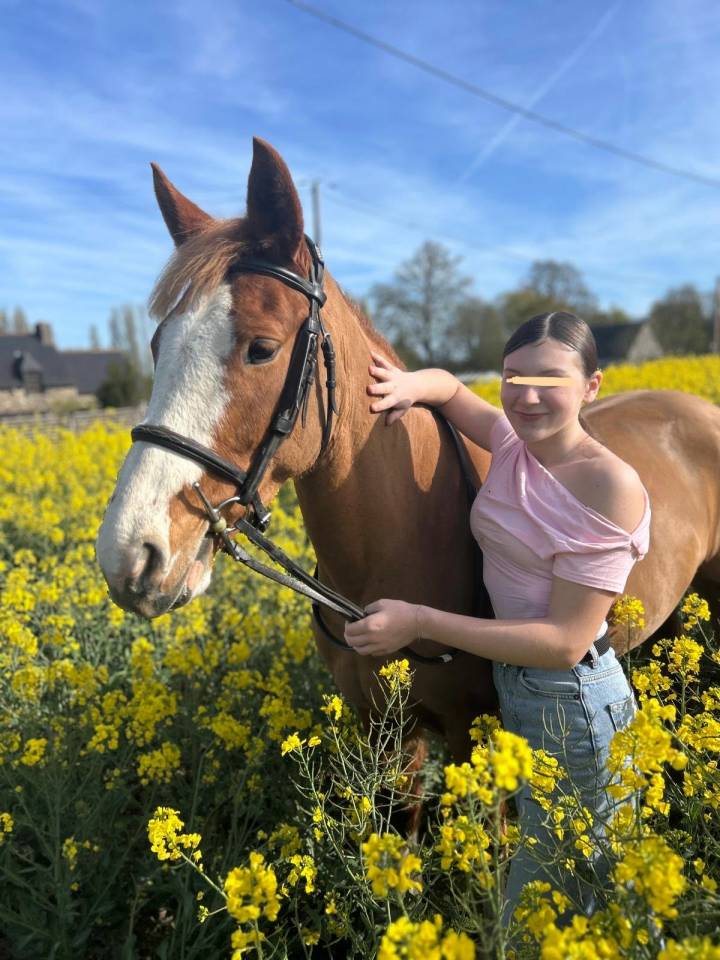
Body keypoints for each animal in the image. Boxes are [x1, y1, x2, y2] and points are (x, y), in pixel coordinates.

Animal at [96, 136, 720, 786]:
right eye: (156, 345)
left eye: (261, 348)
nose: (129, 555)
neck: (395, 542)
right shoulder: (386, 732)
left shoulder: (476, 734)